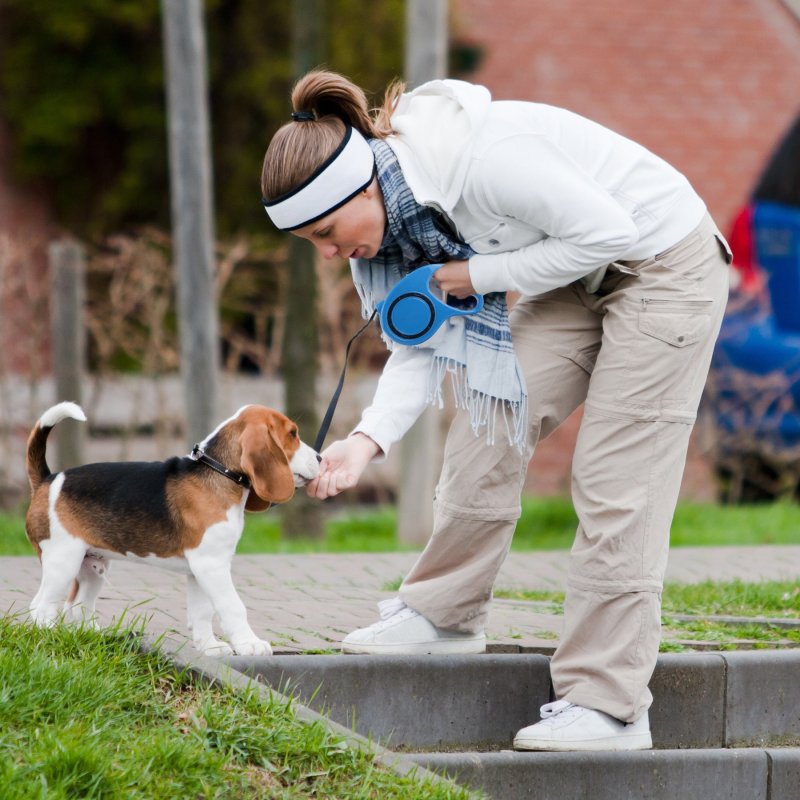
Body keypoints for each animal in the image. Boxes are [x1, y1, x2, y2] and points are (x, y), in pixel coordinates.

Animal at [25, 400, 318, 656]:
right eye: (292, 434)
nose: (320, 457)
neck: (219, 472)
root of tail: (48, 479)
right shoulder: (212, 565)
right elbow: (232, 606)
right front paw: (250, 645)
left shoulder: (200, 569)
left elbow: (202, 612)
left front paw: (208, 648)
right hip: (63, 561)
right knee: (40, 607)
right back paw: (50, 637)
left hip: (91, 566)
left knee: (76, 605)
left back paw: (90, 636)